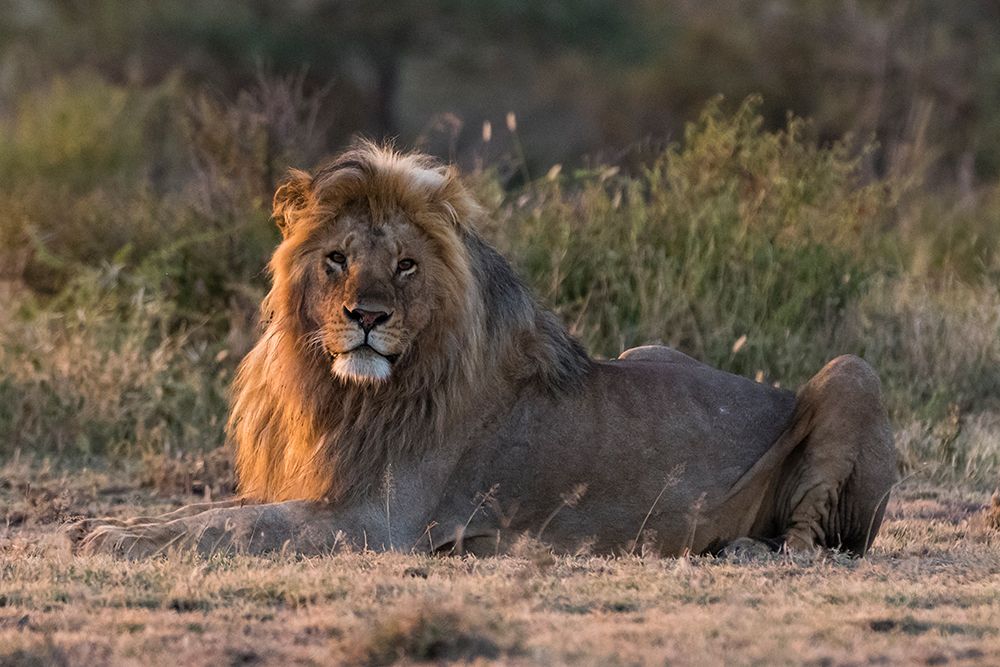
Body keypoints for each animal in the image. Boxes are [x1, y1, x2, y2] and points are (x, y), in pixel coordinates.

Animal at [67, 142, 898, 559]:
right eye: (336, 258)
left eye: (405, 264)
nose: (366, 315)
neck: (343, 392)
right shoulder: (317, 486)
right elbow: (214, 510)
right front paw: (106, 524)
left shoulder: (375, 521)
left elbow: (233, 527)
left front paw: (110, 536)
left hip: (853, 373)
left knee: (819, 539)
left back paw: (748, 549)